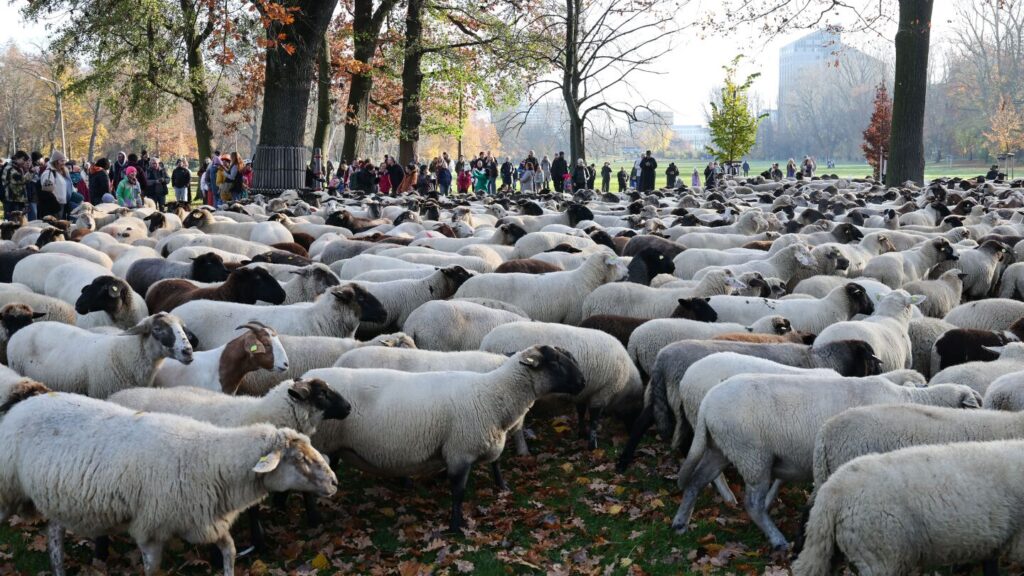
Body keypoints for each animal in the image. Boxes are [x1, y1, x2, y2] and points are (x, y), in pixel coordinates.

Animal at [0, 391, 336, 576]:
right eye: (300, 459)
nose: (334, 482)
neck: (210, 459)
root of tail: (26, 403)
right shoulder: (150, 528)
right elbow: (153, 569)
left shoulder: (204, 520)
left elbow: (229, 551)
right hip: (7, 489)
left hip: (56, 496)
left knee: (54, 533)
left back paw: (58, 567)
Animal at [308, 345, 585, 532]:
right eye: (556, 363)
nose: (583, 382)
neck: (493, 394)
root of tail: (309, 374)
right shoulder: (459, 451)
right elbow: (458, 492)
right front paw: (455, 526)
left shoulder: (485, 439)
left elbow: (495, 463)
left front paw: (502, 487)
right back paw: (315, 519)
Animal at [480, 322, 643, 449]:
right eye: (636, 412)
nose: (631, 433)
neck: (626, 386)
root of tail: (486, 342)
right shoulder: (603, 392)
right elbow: (594, 419)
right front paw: (592, 444)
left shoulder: (583, 393)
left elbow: (581, 412)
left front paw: (581, 433)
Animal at [671, 372, 981, 551]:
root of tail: (707, 402)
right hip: (752, 454)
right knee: (753, 504)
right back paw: (777, 540)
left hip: (722, 448)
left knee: (696, 481)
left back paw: (680, 522)